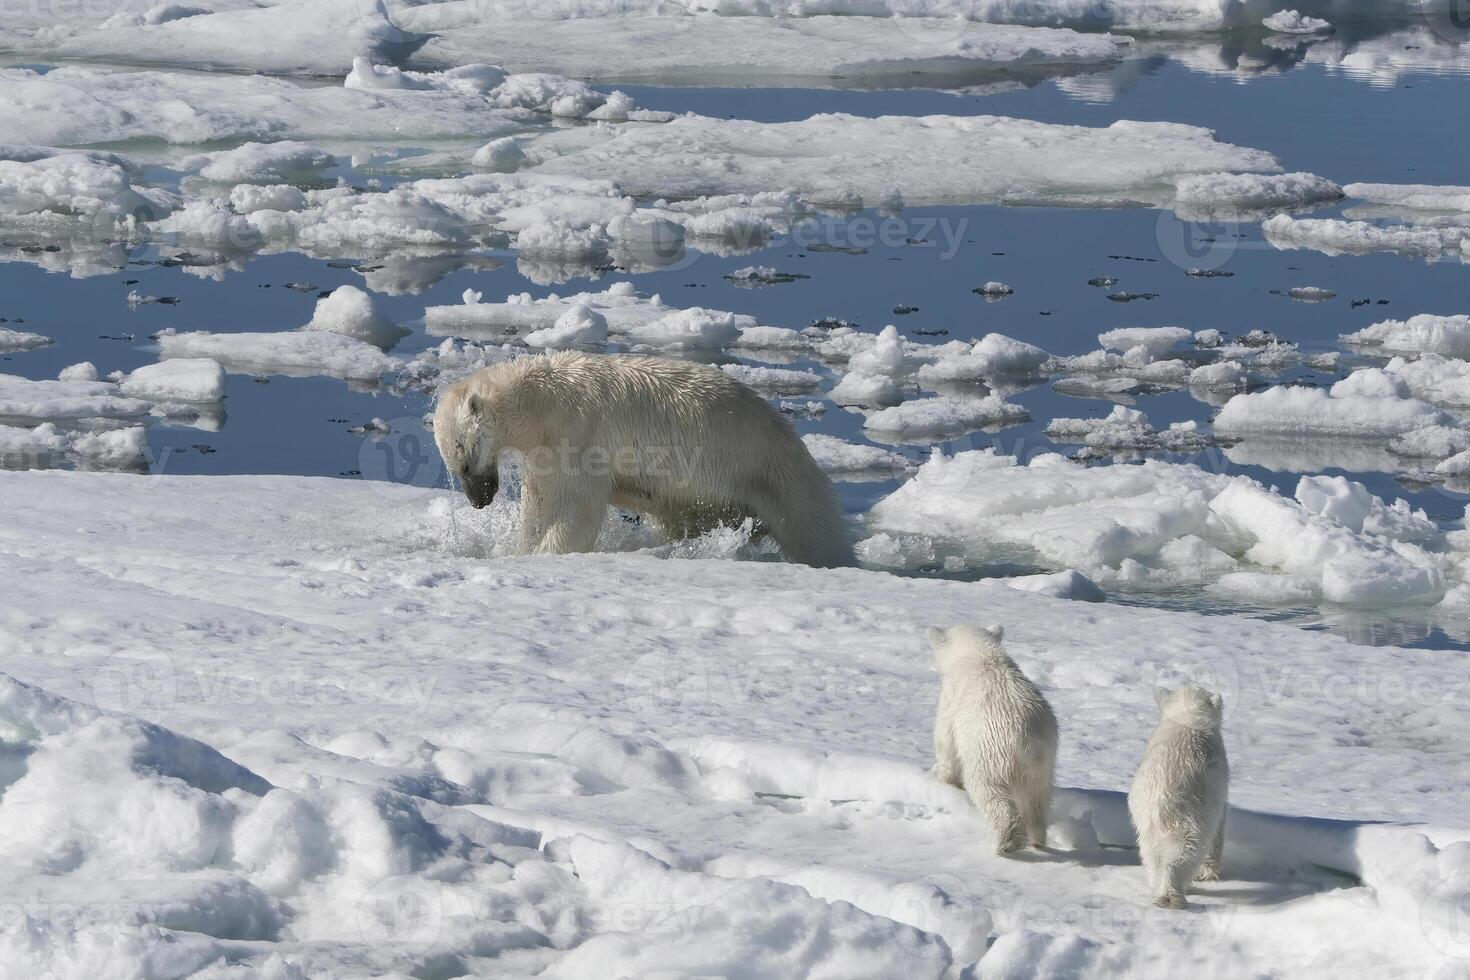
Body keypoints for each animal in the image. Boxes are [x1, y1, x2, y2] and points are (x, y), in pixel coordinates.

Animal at [429, 352, 858, 567]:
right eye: (454, 468)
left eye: (464, 462)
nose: (479, 500)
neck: (542, 401)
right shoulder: (545, 448)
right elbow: (538, 503)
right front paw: (521, 547)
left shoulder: (581, 433)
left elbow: (575, 510)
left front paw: (543, 555)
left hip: (774, 474)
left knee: (814, 530)